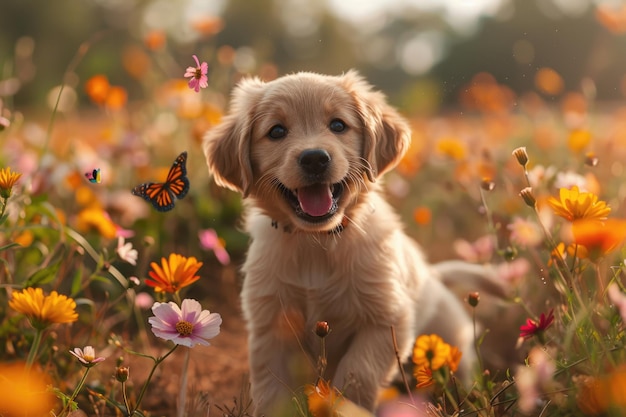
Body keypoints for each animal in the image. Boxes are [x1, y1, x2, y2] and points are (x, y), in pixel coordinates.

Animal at [204, 70, 498, 412]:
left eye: (338, 125)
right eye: (276, 131)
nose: (314, 158)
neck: (316, 242)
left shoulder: (387, 320)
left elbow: (358, 374)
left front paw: (347, 408)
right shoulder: (271, 325)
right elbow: (273, 392)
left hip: (450, 339)